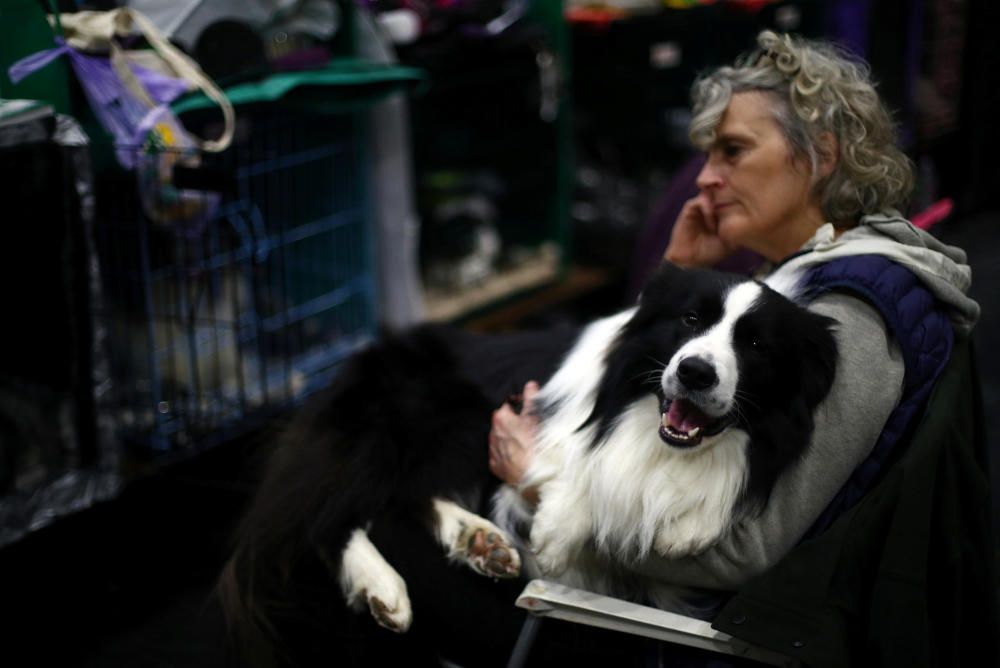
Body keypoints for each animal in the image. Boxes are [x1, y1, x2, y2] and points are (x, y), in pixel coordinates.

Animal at [219, 264, 836, 664]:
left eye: (756, 345)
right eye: (689, 319)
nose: (695, 373)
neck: (655, 436)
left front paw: (689, 527)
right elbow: (583, 474)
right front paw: (559, 530)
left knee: (408, 496)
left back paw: (479, 541)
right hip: (423, 419)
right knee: (329, 517)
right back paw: (384, 587)